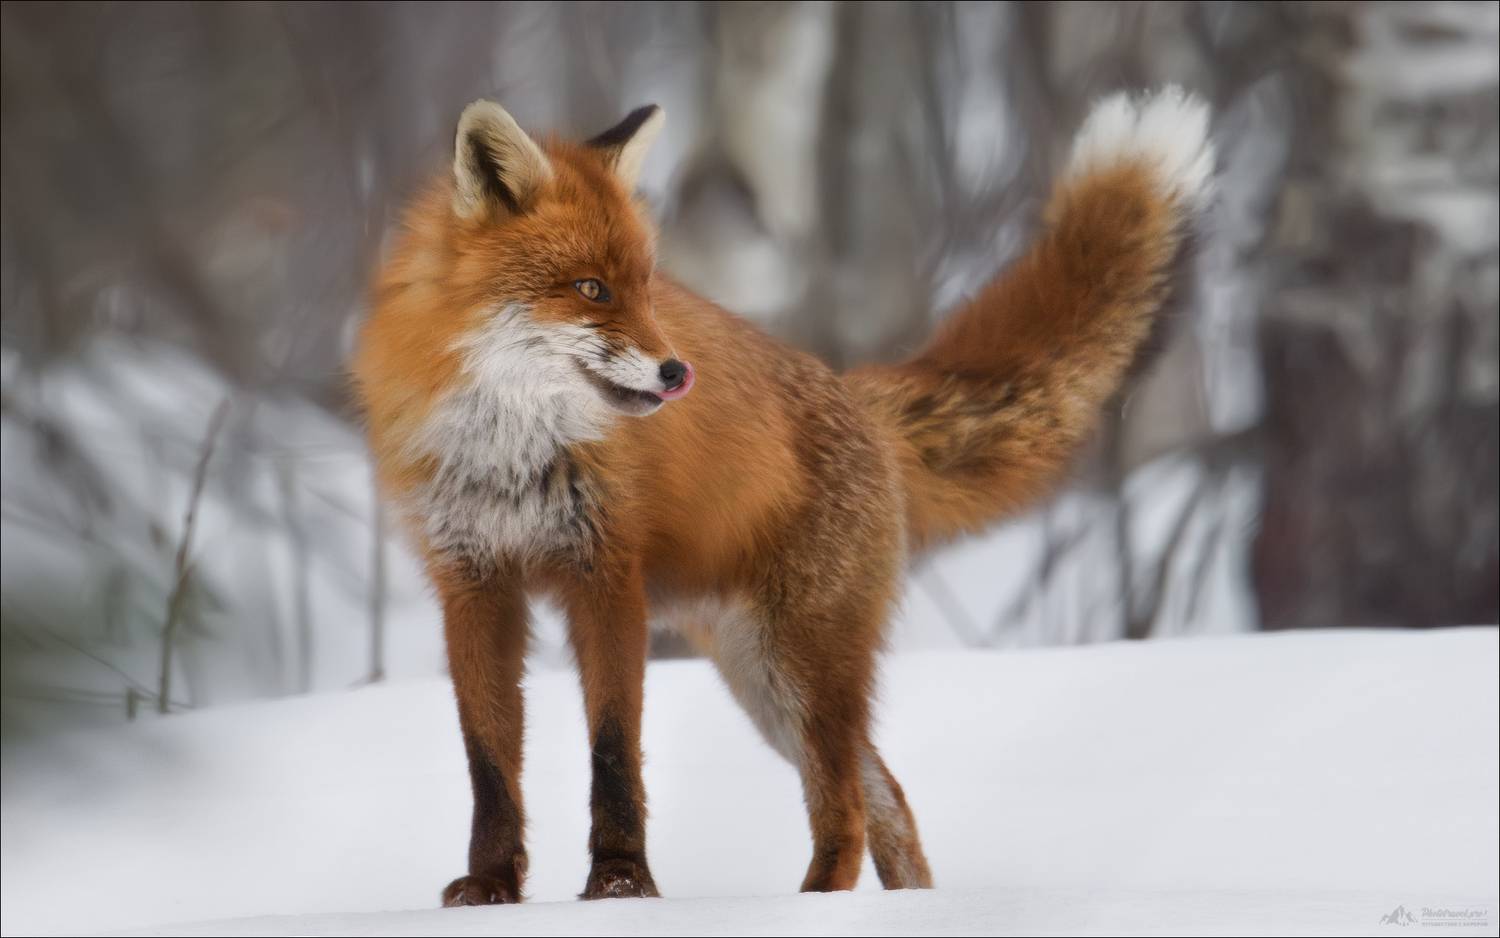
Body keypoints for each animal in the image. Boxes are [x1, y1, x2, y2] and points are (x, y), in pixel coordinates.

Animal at [352, 87, 1215, 905]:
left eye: (647, 287)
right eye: (591, 288)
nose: (676, 373)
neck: (508, 446)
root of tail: (856, 397)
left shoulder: (607, 577)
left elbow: (614, 750)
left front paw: (622, 885)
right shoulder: (473, 584)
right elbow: (489, 761)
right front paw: (492, 887)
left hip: (797, 667)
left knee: (850, 806)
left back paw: (813, 905)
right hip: (765, 677)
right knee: (889, 800)